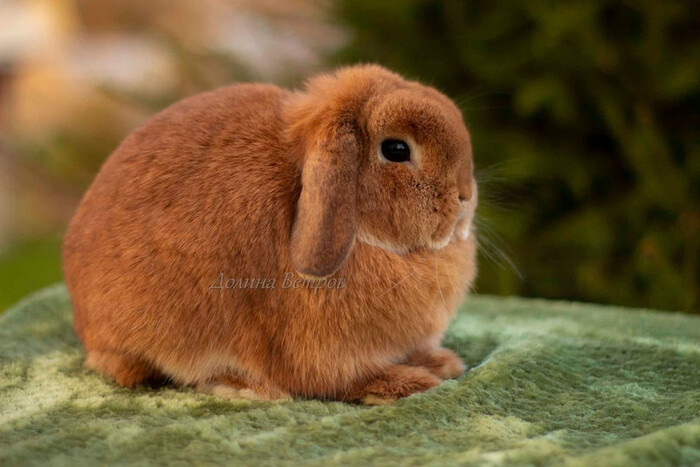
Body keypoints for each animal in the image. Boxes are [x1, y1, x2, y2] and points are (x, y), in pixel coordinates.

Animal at [62, 64, 478, 404]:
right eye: (395, 149)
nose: (465, 196)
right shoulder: (325, 353)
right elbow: (346, 380)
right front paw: (409, 384)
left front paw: (441, 362)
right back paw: (244, 387)